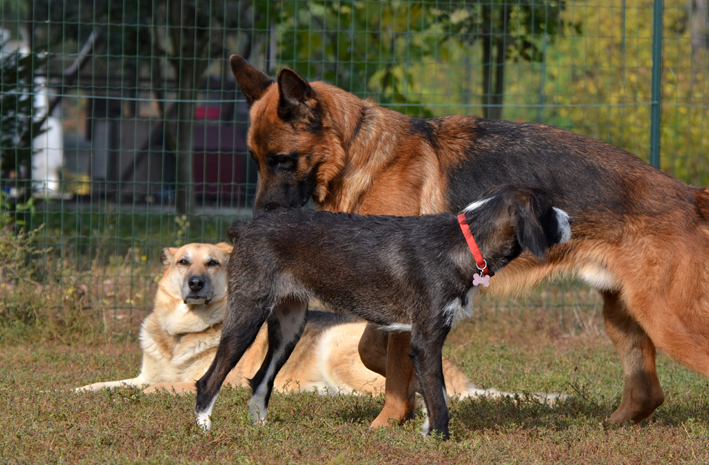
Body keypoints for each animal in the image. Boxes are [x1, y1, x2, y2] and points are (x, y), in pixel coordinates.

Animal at [76, 239, 532, 398]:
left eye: (213, 263)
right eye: (183, 262)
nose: (194, 283)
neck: (180, 334)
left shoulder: (202, 379)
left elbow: (164, 388)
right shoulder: (141, 374)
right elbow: (110, 384)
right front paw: (75, 390)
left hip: (339, 349)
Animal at [196, 186, 572, 438]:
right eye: (546, 207)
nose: (571, 220)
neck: (465, 242)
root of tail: (246, 227)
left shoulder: (422, 342)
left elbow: (431, 391)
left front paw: (426, 429)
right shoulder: (426, 340)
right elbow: (439, 398)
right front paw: (440, 439)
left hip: (289, 325)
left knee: (261, 379)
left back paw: (260, 428)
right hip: (246, 316)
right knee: (208, 379)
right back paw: (204, 428)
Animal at [231, 55, 709, 428]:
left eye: (282, 160)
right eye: (254, 160)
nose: (256, 224)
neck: (357, 153)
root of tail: (688, 193)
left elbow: (391, 367)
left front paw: (391, 418)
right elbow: (372, 350)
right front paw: (422, 396)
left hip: (667, 320)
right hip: (624, 314)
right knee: (647, 393)